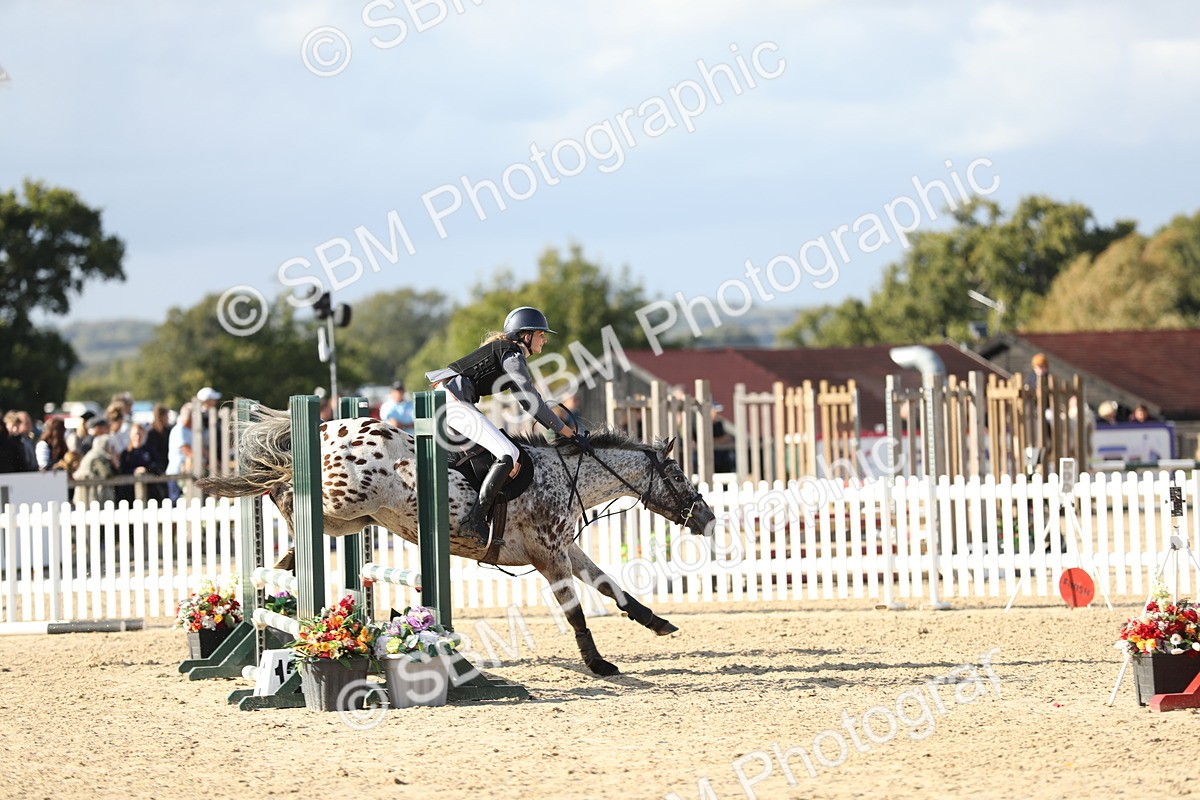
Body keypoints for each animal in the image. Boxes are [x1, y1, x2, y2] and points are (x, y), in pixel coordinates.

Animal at [197, 407, 717, 676]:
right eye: (677, 475)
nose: (708, 518)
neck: (565, 476)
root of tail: (328, 425)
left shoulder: (564, 549)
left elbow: (613, 588)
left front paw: (658, 623)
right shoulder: (549, 556)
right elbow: (575, 611)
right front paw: (598, 663)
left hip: (352, 520)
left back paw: (281, 565)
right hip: (342, 500)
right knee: (285, 486)